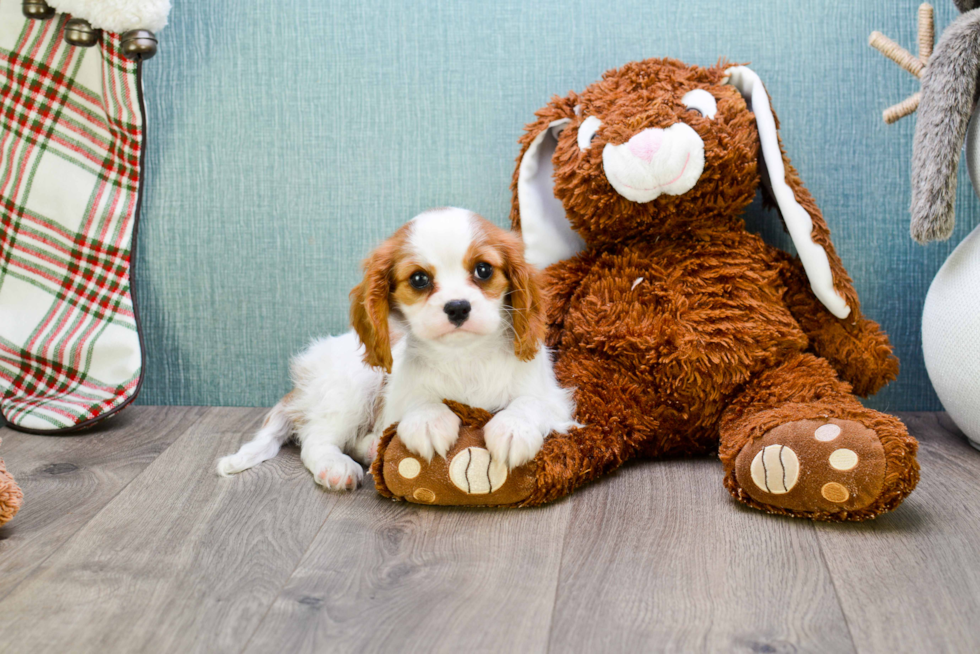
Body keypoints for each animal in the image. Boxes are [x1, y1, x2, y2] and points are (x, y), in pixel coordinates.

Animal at [218, 208, 580, 490]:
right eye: (419, 279)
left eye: (483, 269)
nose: (457, 307)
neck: (464, 357)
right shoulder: (395, 398)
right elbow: (415, 400)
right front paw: (428, 420)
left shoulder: (554, 399)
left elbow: (529, 402)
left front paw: (512, 428)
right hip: (352, 386)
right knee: (315, 437)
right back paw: (336, 467)